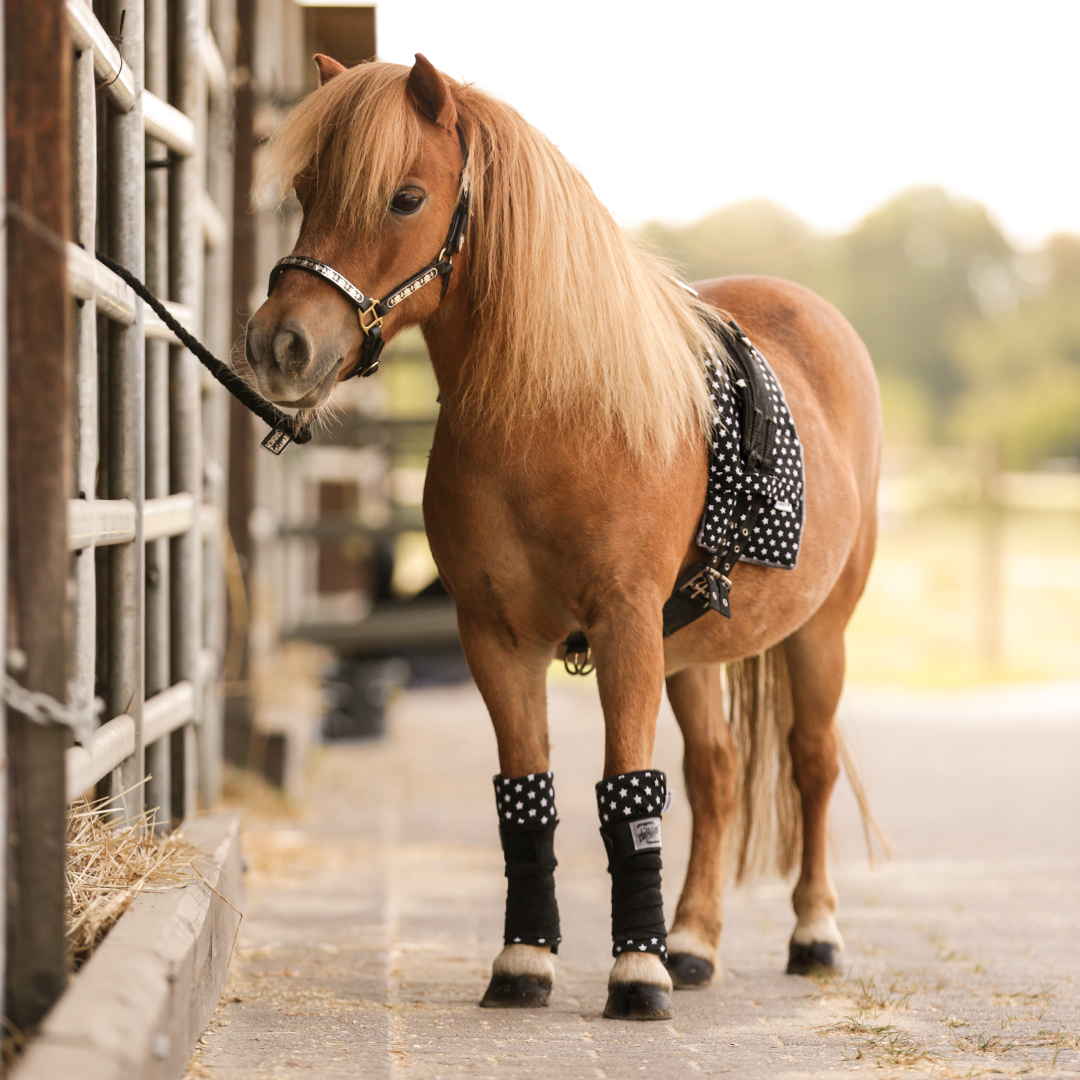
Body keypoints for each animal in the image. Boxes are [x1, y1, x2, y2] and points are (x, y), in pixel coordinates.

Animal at [244, 53, 882, 1022]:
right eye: (309, 189)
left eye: (404, 197)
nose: (280, 346)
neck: (548, 420)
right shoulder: (495, 636)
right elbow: (527, 797)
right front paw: (525, 962)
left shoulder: (623, 627)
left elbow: (628, 793)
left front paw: (636, 977)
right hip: (692, 654)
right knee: (717, 774)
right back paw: (693, 941)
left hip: (822, 633)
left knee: (810, 765)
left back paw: (813, 936)